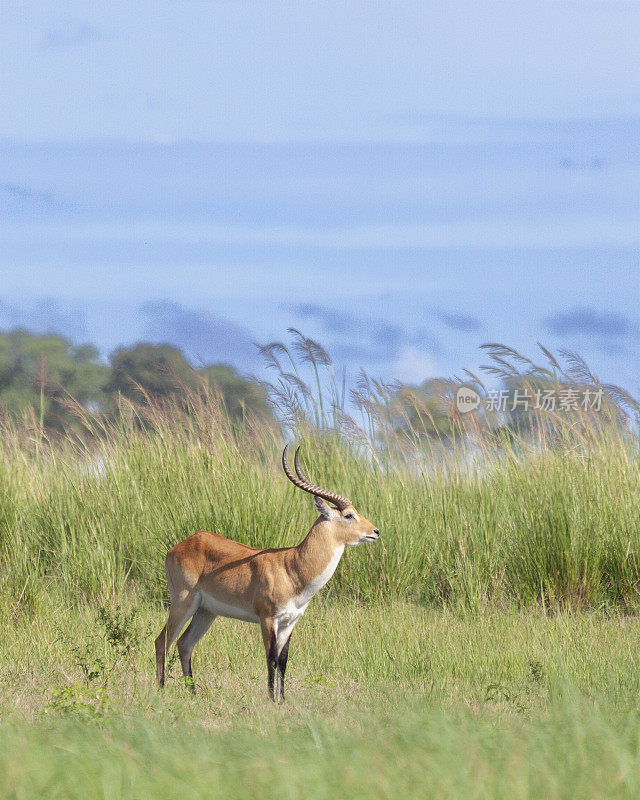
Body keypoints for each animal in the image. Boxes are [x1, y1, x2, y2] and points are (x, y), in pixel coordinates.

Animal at [154, 446, 380, 704]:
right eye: (349, 515)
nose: (375, 531)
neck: (292, 568)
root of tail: (183, 544)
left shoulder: (290, 622)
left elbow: (283, 661)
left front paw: (282, 700)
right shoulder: (268, 618)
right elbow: (270, 658)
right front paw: (272, 700)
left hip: (206, 612)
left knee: (184, 644)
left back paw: (193, 693)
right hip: (183, 602)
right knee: (162, 640)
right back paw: (161, 689)